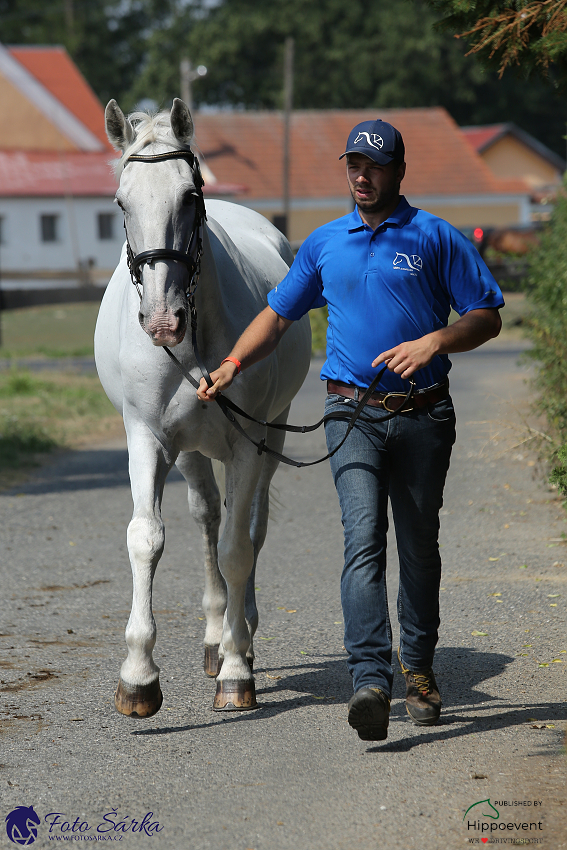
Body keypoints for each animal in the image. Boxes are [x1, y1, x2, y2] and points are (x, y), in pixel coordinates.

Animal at [96, 99, 312, 716]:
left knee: (249, 526)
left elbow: (240, 549)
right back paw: (217, 635)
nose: (161, 320)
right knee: (209, 517)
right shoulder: (147, 438)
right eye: (121, 202)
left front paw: (238, 672)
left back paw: (242, 638)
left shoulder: (246, 445)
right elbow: (147, 539)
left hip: (272, 435)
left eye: (190, 196)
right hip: (191, 450)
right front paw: (139, 676)